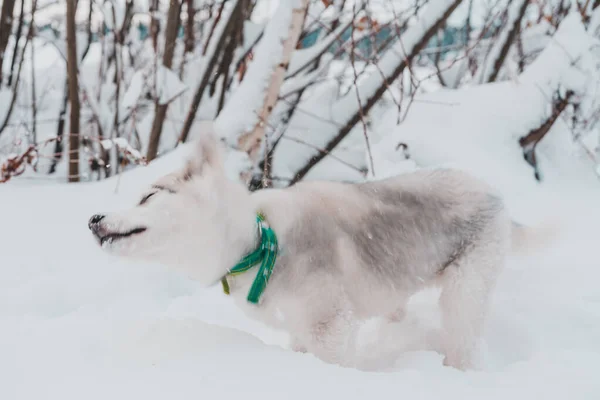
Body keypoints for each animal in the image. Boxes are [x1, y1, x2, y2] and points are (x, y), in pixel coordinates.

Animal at [88, 131, 548, 372]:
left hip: (464, 294)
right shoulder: (300, 329)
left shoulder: (330, 327)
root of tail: (493, 192)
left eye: (148, 196)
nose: (93, 218)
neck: (259, 242)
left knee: (463, 339)